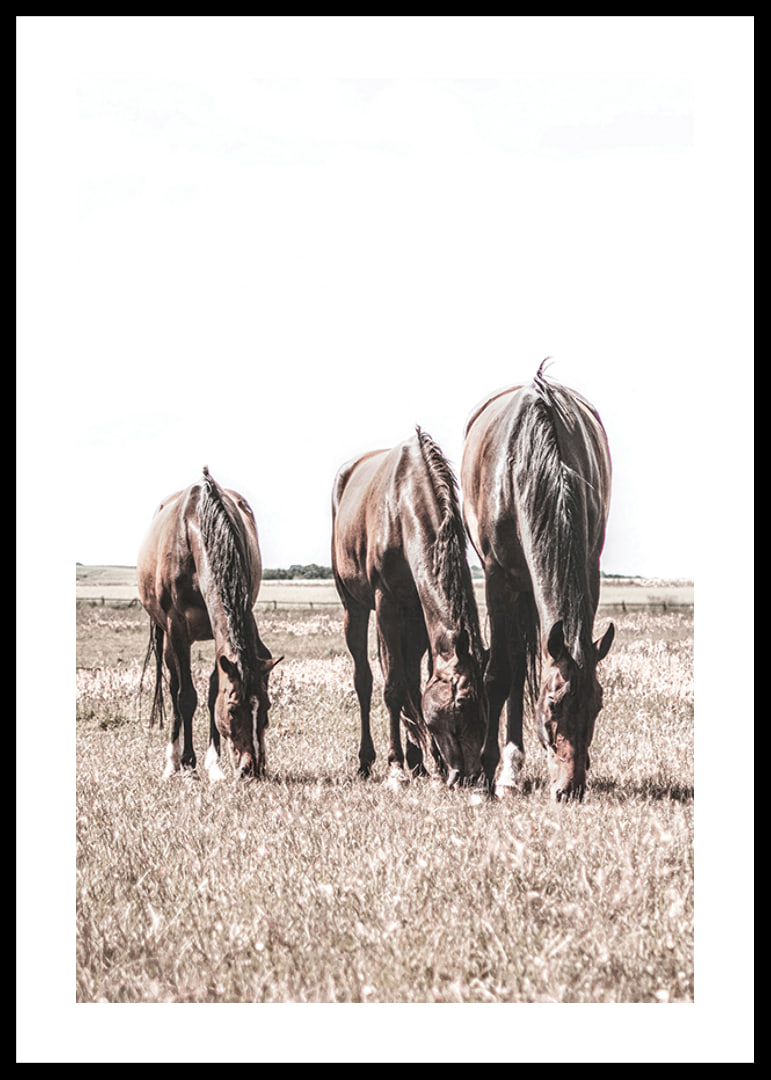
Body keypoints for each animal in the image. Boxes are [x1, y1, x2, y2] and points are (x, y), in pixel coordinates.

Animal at [137, 467, 281, 781]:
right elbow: (186, 697)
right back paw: (173, 762)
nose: (252, 769)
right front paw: (189, 764)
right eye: (233, 709)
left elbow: (213, 690)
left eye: (267, 706)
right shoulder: (177, 629)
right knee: (174, 687)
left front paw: (214, 765)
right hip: (168, 639)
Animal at [331, 427, 487, 788]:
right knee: (365, 679)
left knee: (410, 680)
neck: (403, 506)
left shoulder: (418, 612)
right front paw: (396, 766)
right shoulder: (386, 603)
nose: (470, 777)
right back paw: (368, 761)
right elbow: (392, 687)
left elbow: (416, 684)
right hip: (354, 607)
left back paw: (418, 761)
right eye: (460, 708)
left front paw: (428, 762)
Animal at [460, 361, 614, 801]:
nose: (570, 789)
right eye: (552, 705)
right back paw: (506, 773)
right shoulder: (497, 577)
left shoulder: (589, 569)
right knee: (512, 662)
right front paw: (484, 777)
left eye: (597, 705)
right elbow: (498, 674)